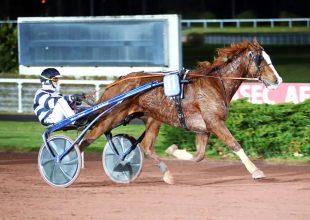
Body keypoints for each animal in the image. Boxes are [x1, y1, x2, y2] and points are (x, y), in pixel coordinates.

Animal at [78, 39, 282, 184]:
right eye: (261, 59)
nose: (278, 80)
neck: (216, 83)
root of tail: (116, 82)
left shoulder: (204, 128)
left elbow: (199, 156)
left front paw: (176, 151)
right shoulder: (214, 122)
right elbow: (234, 144)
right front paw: (256, 171)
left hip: (153, 118)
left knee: (147, 147)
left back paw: (166, 174)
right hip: (113, 115)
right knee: (89, 137)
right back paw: (75, 161)